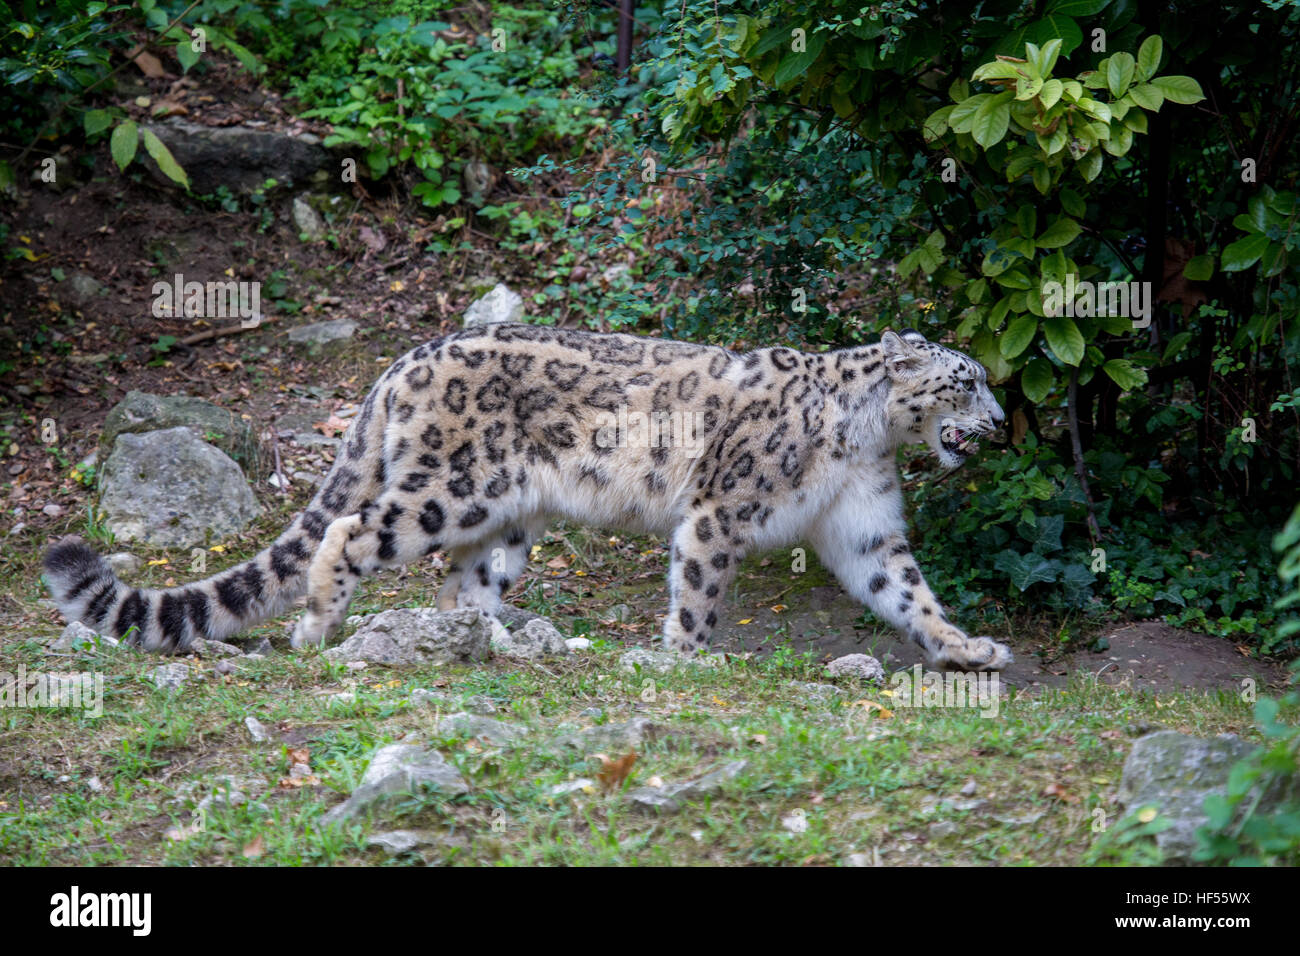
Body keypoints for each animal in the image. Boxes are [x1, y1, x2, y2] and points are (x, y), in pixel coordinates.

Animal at [43, 325, 1013, 671]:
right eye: (966, 381)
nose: (1004, 422)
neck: (866, 442)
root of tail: (409, 357)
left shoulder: (866, 528)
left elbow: (907, 592)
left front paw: (967, 648)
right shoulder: (721, 509)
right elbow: (699, 589)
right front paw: (687, 658)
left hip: (503, 520)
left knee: (457, 588)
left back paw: (492, 641)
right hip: (450, 489)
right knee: (353, 529)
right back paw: (320, 625)